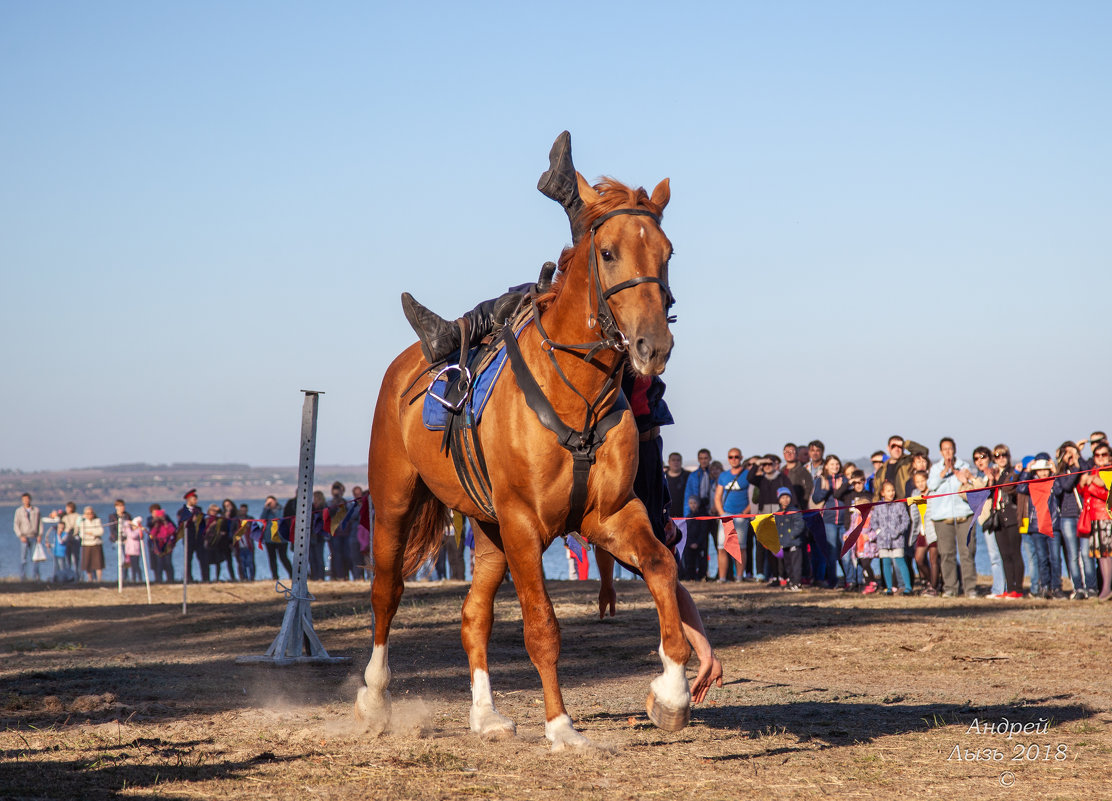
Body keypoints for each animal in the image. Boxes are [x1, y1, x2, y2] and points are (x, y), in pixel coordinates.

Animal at [358, 146, 684, 747]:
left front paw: (671, 693)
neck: (576, 393)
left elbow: (661, 568)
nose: (654, 345)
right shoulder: (524, 525)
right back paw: (373, 698)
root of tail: (407, 364)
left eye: (667, 253)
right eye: (608, 253)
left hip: (487, 532)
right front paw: (561, 726)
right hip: (395, 504)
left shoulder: (610, 513)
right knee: (385, 594)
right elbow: (541, 627)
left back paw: (485, 714)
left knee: (473, 615)